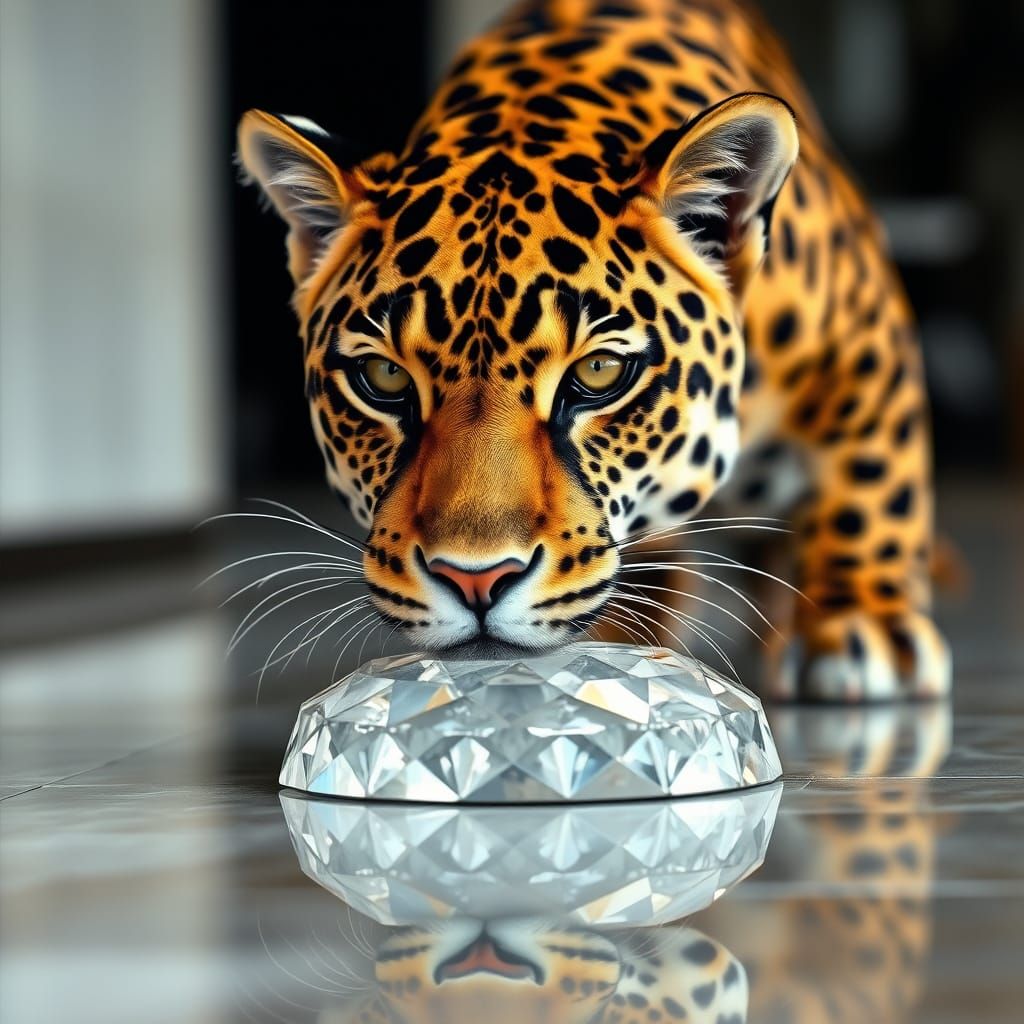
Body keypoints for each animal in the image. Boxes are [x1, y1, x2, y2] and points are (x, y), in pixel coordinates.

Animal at [237, 0, 950, 701]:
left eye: (600, 373)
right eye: (383, 377)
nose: (474, 580)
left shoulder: (862, 336)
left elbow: (872, 485)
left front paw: (862, 623)